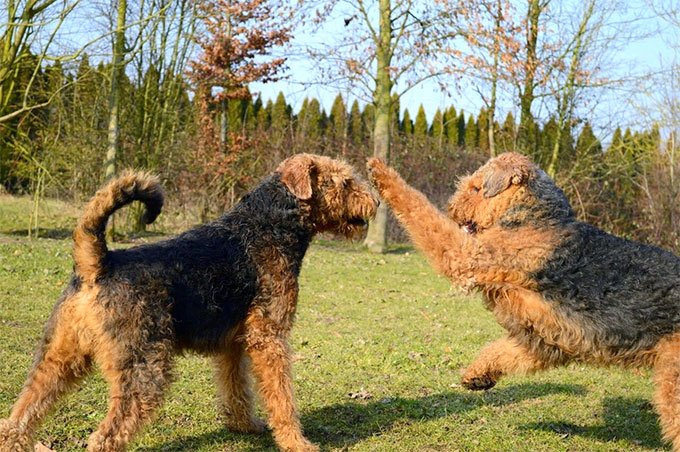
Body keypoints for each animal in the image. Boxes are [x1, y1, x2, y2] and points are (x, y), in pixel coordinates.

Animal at [0, 154, 378, 452]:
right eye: (345, 182)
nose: (374, 201)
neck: (269, 225)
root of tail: (98, 264)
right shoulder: (270, 337)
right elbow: (281, 396)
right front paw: (297, 442)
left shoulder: (234, 343)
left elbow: (237, 388)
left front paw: (245, 425)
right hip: (145, 369)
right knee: (105, 436)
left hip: (59, 356)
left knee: (20, 416)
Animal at [370, 154, 680, 450]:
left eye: (476, 188)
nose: (451, 209)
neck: (535, 218)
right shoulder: (543, 339)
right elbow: (501, 351)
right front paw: (477, 375)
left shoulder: (465, 256)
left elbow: (420, 211)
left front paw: (380, 172)